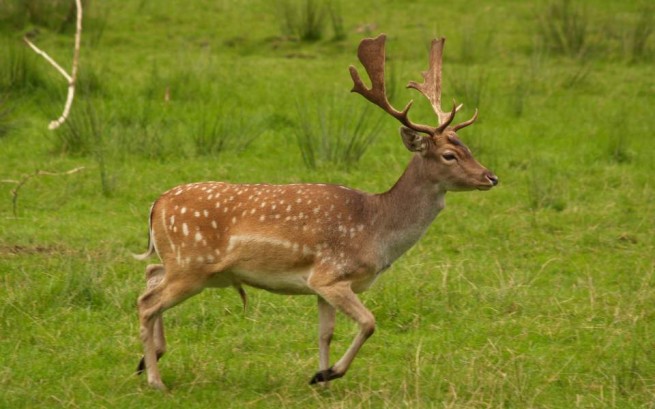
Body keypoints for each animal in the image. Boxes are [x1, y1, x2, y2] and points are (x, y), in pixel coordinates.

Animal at [136, 34, 500, 388]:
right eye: (449, 155)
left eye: (468, 147)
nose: (491, 177)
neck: (376, 230)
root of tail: (156, 204)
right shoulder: (331, 274)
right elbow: (369, 323)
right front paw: (328, 374)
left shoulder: (322, 285)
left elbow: (325, 333)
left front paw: (321, 381)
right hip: (191, 265)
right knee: (147, 303)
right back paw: (155, 379)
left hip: (189, 266)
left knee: (151, 275)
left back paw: (147, 359)